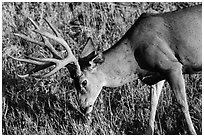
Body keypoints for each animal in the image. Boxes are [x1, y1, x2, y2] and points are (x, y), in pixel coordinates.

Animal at [9, 4, 201, 135]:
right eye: (72, 83)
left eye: (83, 82)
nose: (83, 108)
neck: (135, 56)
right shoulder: (156, 74)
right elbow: (153, 103)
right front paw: (148, 131)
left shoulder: (173, 65)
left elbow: (182, 103)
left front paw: (192, 131)